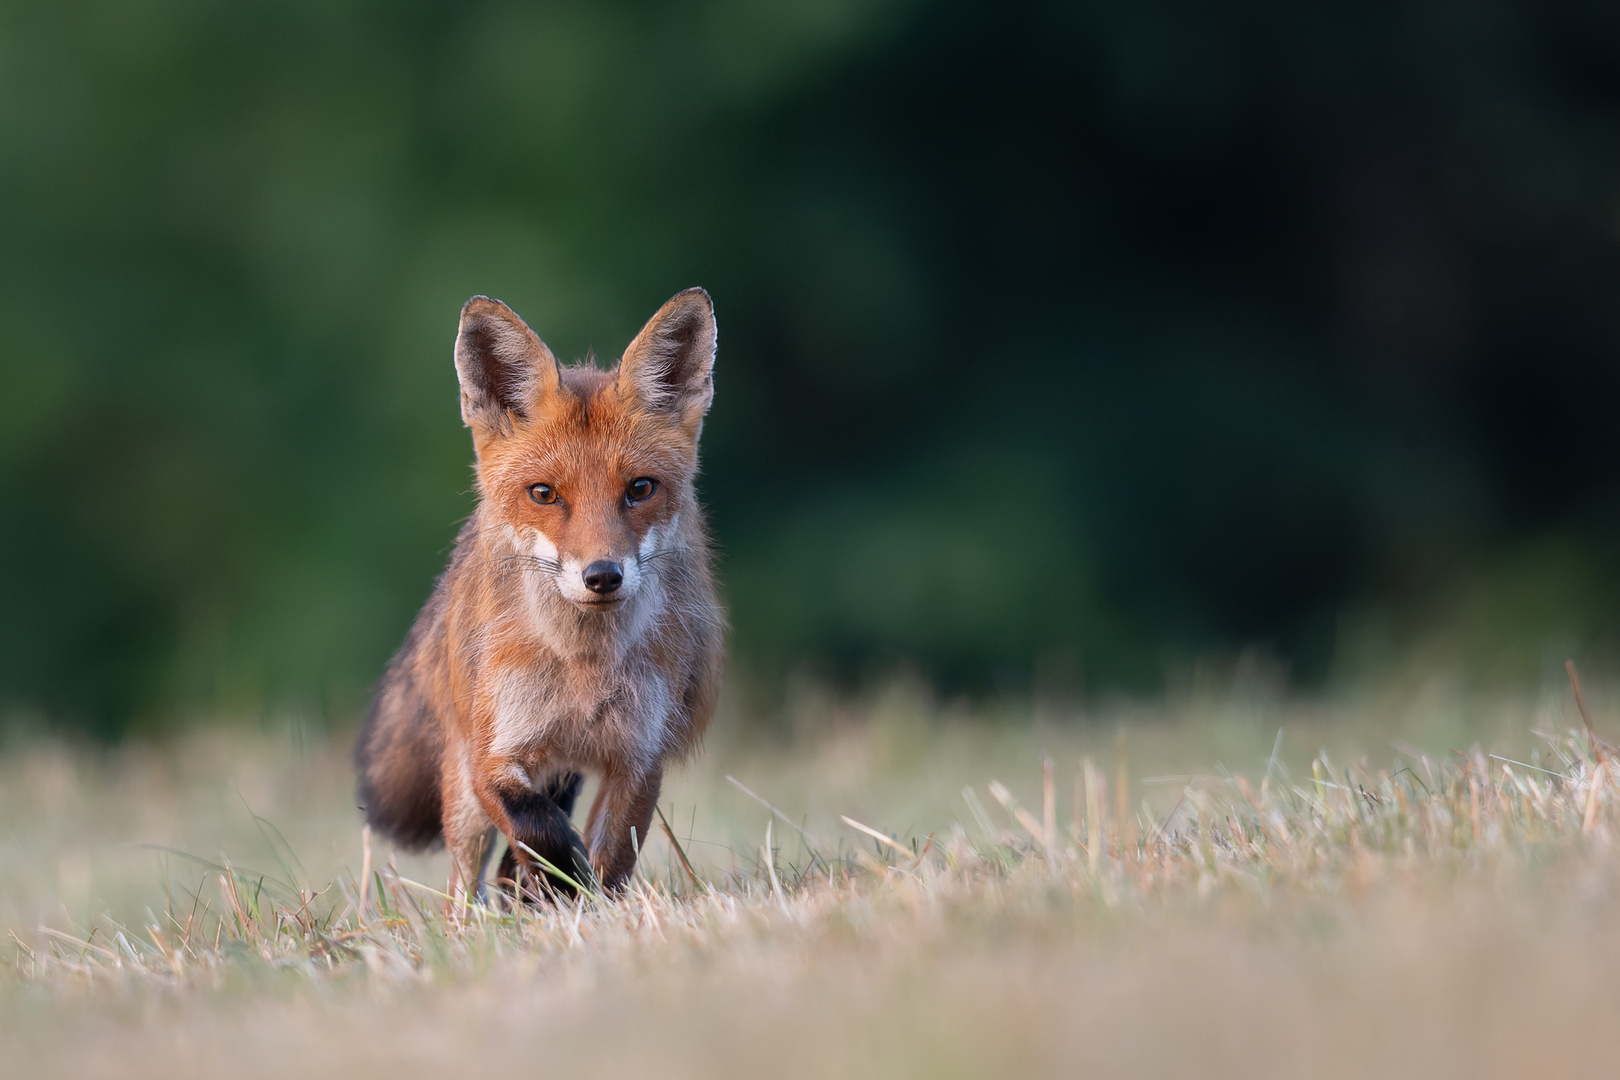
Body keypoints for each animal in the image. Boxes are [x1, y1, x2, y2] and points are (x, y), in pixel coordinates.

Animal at [364, 286, 732, 893]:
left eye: (640, 489)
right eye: (544, 493)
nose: (602, 575)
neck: (582, 668)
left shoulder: (638, 757)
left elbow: (612, 859)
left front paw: (585, 899)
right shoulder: (492, 754)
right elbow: (538, 828)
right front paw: (560, 882)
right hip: (467, 793)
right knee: (464, 883)